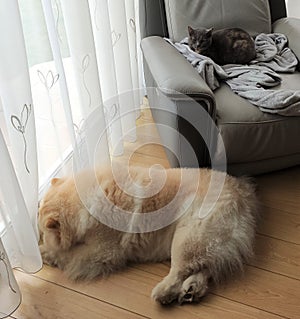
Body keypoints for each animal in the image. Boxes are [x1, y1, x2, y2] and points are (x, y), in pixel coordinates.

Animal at [38, 164, 258, 306]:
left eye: (42, 231)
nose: (39, 237)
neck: (83, 205)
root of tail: (242, 191)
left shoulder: (103, 251)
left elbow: (67, 255)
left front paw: (44, 253)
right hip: (208, 242)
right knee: (205, 267)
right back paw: (191, 291)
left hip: (187, 238)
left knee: (180, 270)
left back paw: (163, 292)